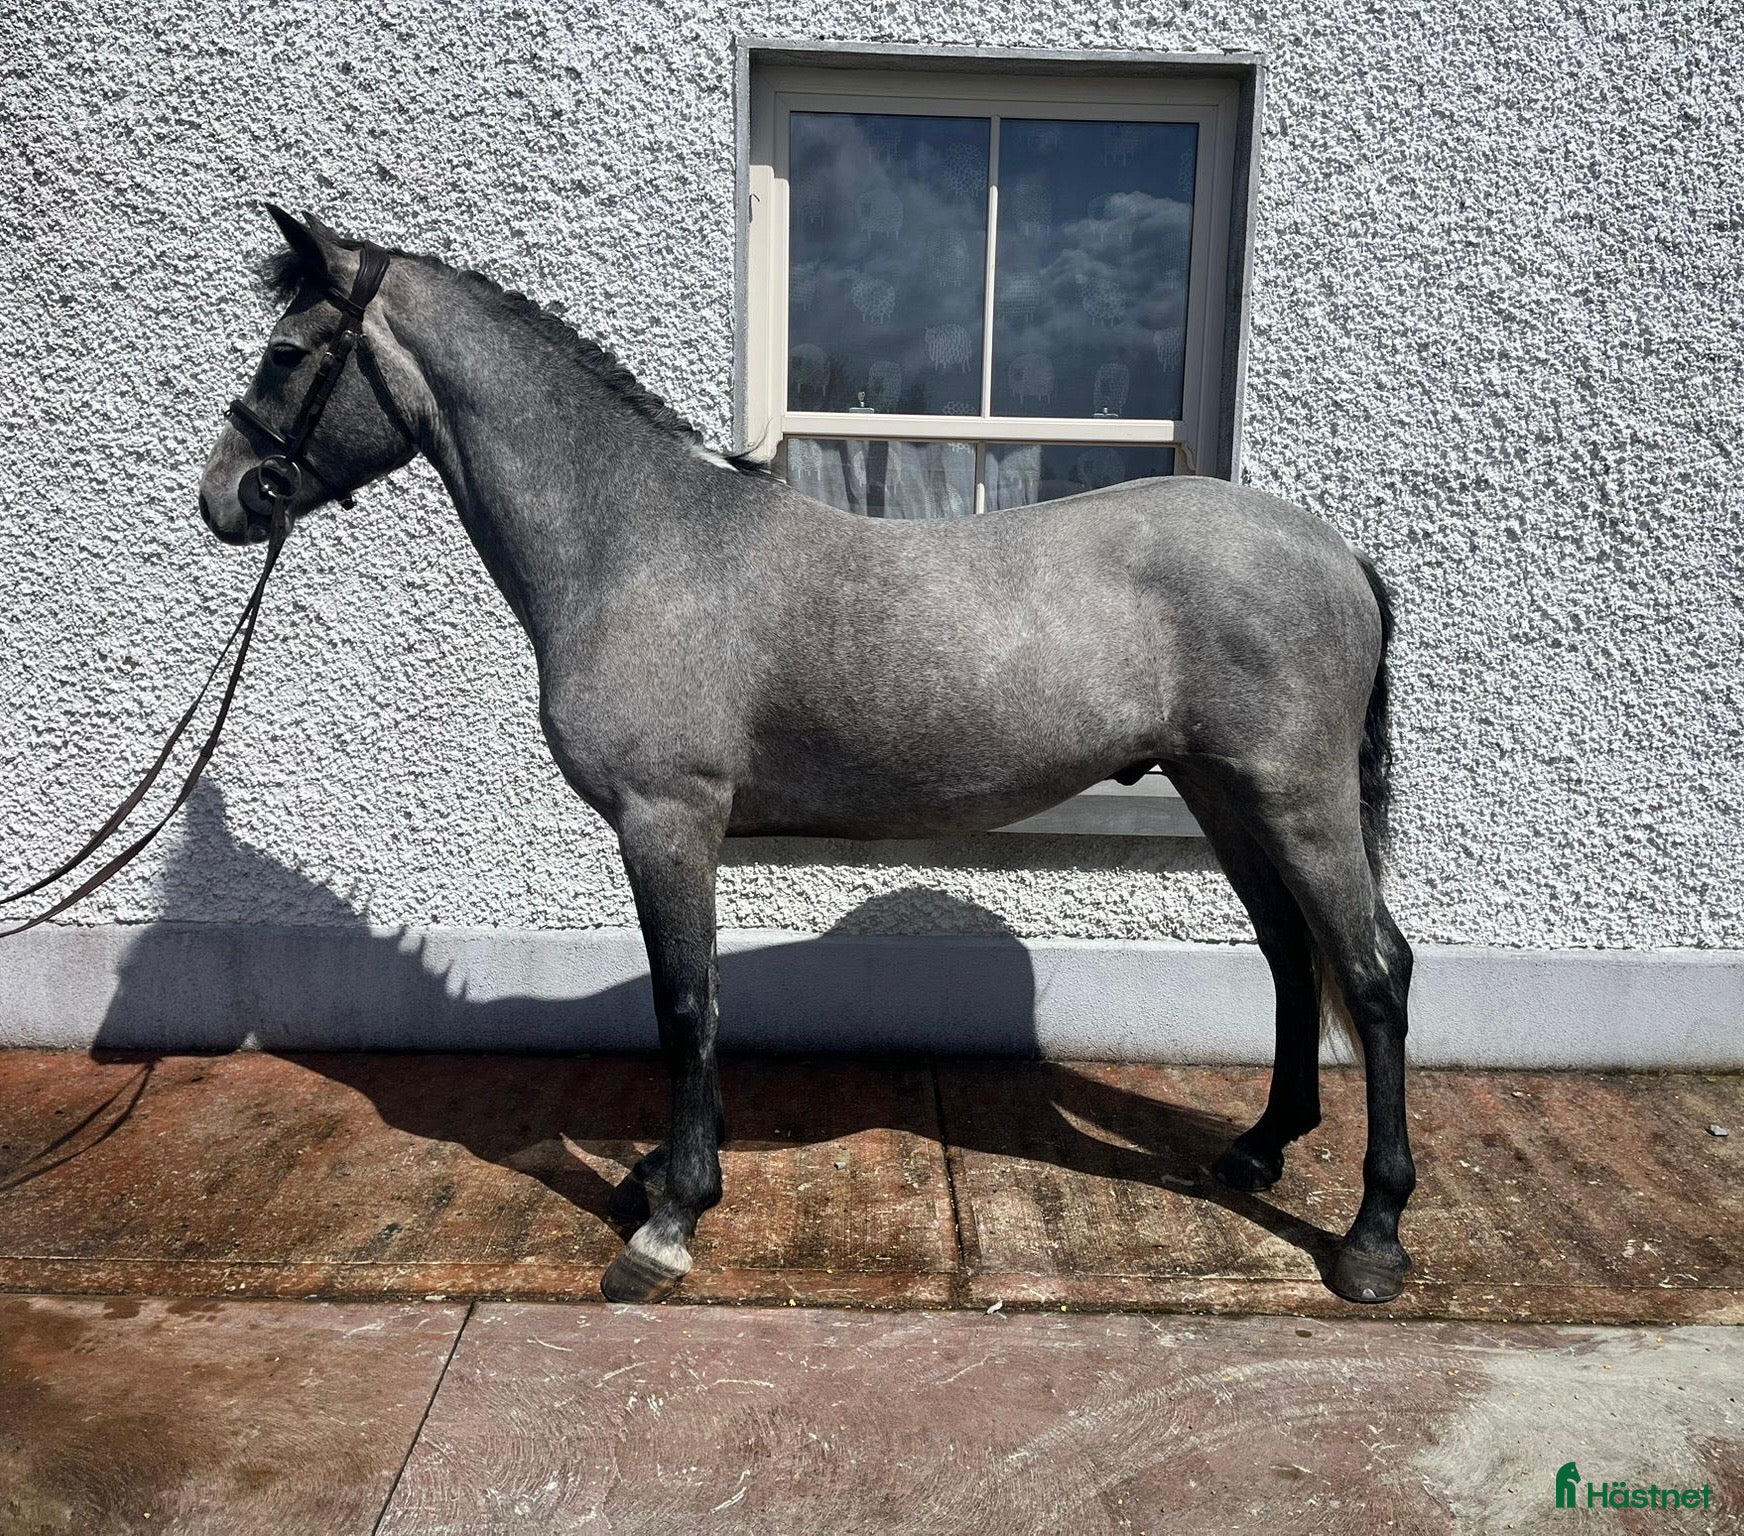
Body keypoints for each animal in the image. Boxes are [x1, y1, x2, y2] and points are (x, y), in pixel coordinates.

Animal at [199, 206, 1417, 1307]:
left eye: (287, 352)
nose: (224, 499)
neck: (636, 543)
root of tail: (1337, 552)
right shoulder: (679, 833)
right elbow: (692, 996)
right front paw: (664, 1175)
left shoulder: (665, 819)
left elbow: (683, 1008)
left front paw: (671, 1222)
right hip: (1223, 793)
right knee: (1291, 954)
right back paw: (1259, 1148)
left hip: (1294, 797)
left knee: (1371, 972)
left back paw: (1372, 1239)